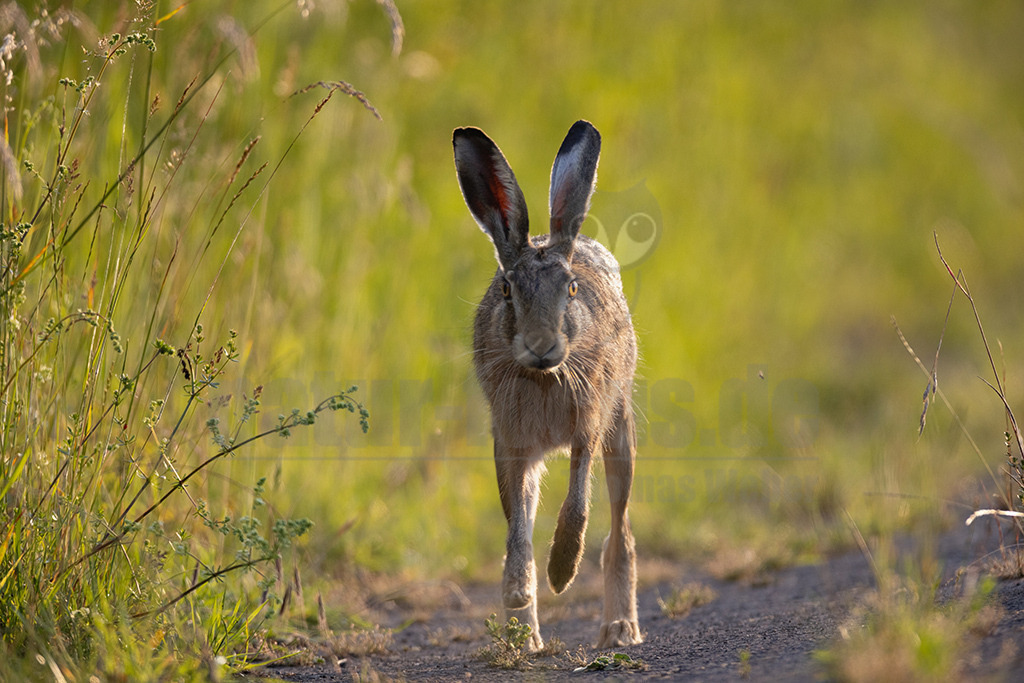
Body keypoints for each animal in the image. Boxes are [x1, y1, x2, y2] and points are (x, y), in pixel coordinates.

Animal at [453, 120, 642, 650]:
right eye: (506, 290)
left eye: (571, 290)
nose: (541, 346)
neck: (542, 377)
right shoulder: (510, 444)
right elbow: (516, 526)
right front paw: (519, 594)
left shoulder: (588, 426)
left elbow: (577, 506)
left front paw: (561, 573)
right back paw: (527, 635)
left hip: (621, 434)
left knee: (620, 530)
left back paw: (619, 629)